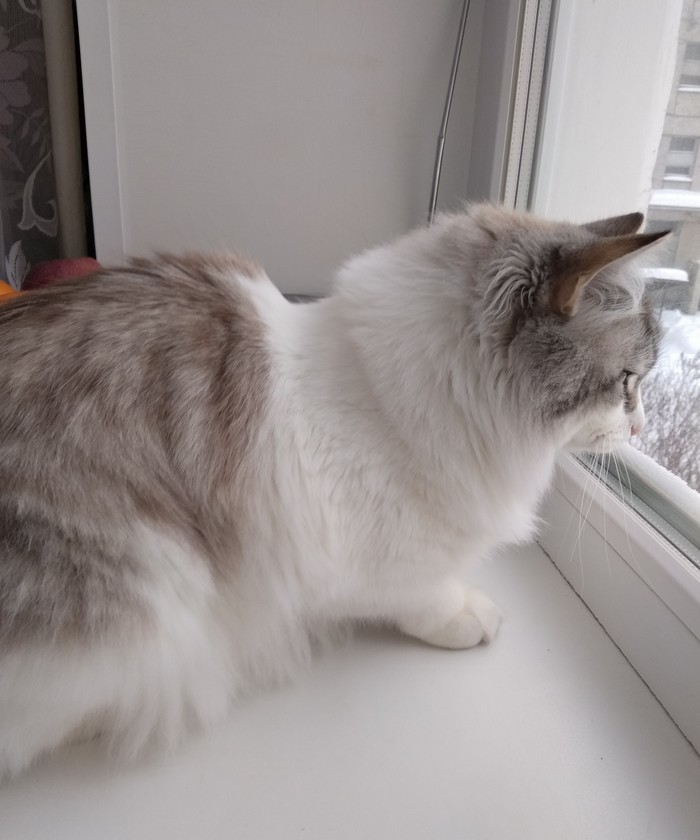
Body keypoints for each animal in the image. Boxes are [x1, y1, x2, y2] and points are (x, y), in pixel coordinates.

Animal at [0, 204, 664, 779]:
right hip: (151, 584)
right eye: (628, 381)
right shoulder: (377, 559)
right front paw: (468, 616)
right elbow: (426, 596)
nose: (640, 429)